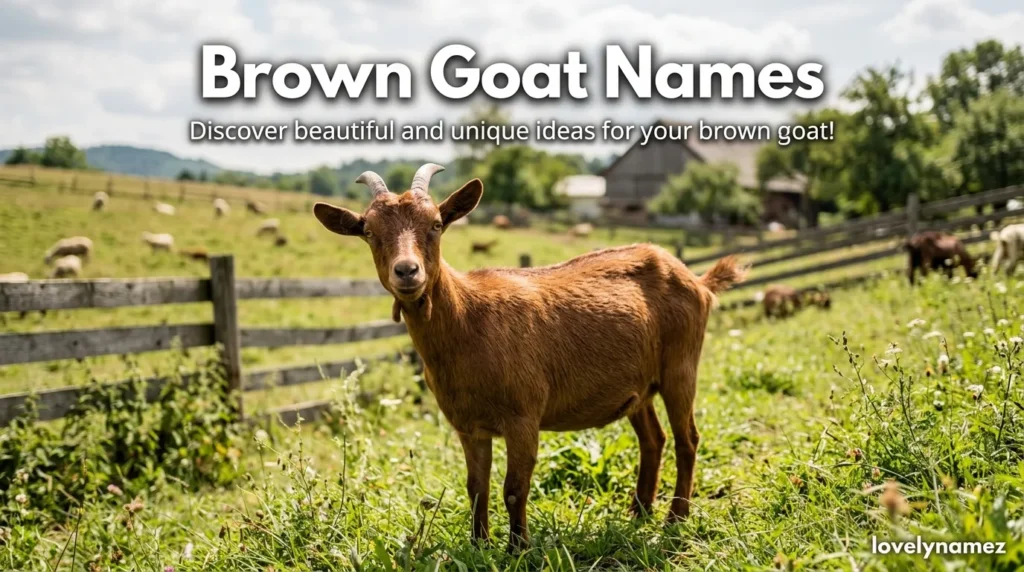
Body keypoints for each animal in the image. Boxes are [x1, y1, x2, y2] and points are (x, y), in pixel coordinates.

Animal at [312, 164, 747, 551]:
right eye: (369, 231)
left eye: (436, 224)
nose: (407, 271)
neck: (468, 322)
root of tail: (697, 280)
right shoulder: (468, 425)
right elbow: (476, 487)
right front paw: (479, 545)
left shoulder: (523, 416)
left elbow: (513, 488)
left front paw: (518, 549)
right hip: (638, 387)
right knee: (653, 439)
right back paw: (639, 511)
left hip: (681, 367)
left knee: (687, 439)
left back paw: (676, 518)